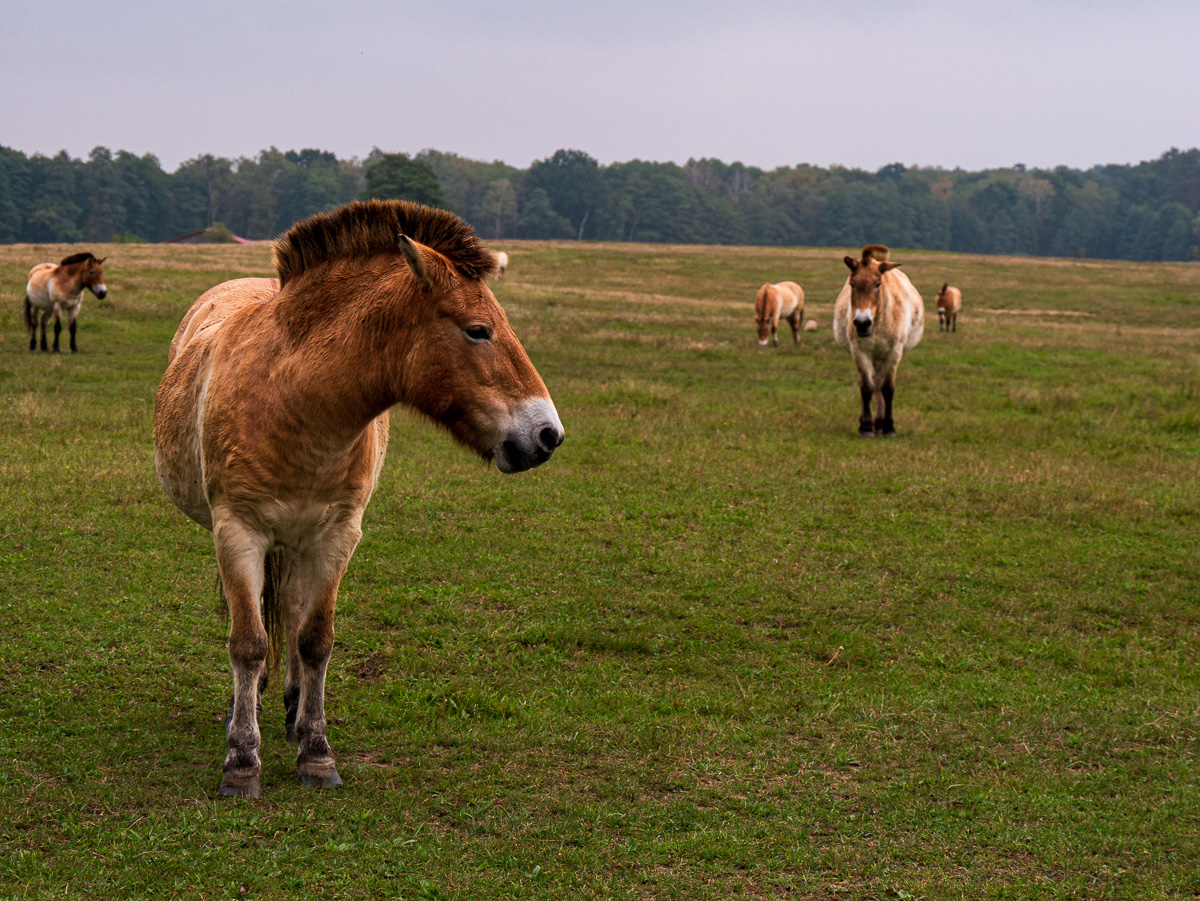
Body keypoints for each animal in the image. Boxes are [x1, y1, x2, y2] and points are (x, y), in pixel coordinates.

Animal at [153, 200, 564, 798]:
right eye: (478, 331)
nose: (548, 435)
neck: (294, 398)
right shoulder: (237, 533)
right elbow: (248, 642)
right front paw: (242, 761)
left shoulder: (338, 536)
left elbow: (315, 639)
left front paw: (316, 751)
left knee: (292, 612)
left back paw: (292, 707)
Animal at [833, 245, 924, 437]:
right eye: (852, 284)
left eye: (877, 284)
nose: (862, 323)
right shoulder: (860, 352)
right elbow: (867, 387)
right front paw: (866, 427)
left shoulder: (894, 352)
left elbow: (887, 388)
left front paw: (889, 427)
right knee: (873, 384)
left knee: (880, 384)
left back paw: (881, 424)